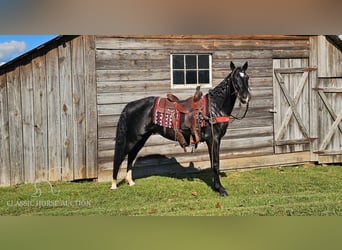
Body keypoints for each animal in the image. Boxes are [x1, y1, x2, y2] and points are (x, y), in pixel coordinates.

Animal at [111, 61, 250, 196]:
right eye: (235, 78)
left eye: (247, 77)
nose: (245, 97)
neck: (214, 107)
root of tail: (129, 106)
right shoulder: (213, 139)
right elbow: (215, 163)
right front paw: (220, 189)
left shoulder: (216, 140)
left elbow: (215, 162)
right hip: (132, 139)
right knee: (119, 158)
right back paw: (113, 185)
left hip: (141, 139)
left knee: (131, 156)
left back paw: (130, 182)